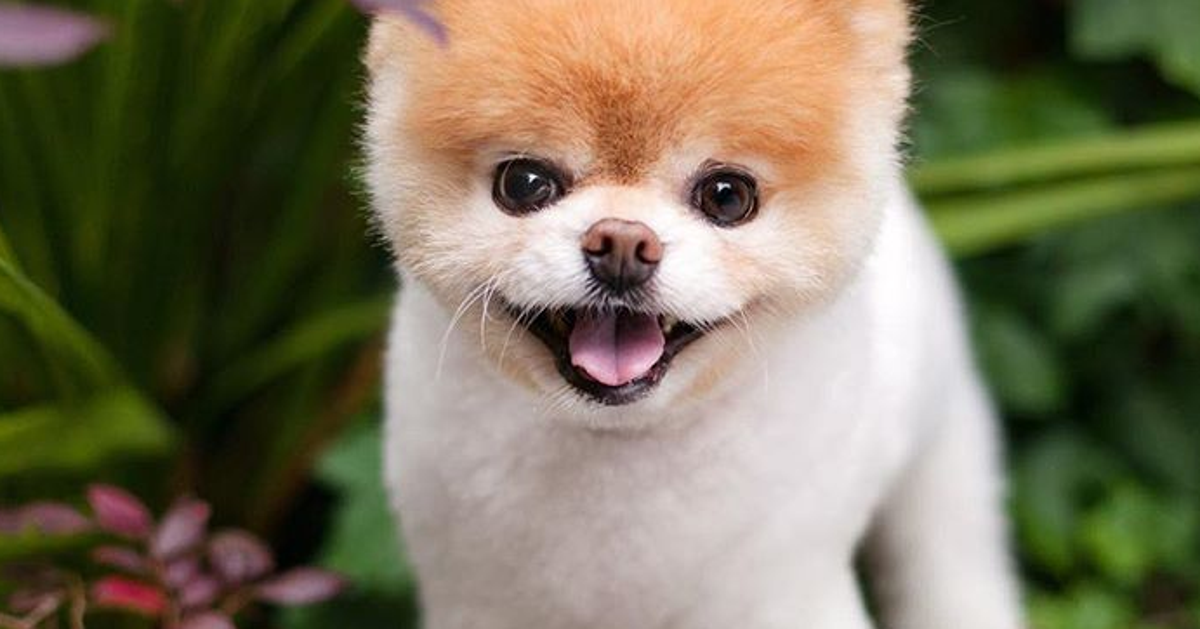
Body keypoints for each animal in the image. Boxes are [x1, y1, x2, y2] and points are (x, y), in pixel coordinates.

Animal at [364, 1, 1024, 627]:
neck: (617, 448)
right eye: (524, 183)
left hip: (944, 443)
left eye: (728, 196)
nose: (622, 244)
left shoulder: (783, 595)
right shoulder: (476, 599)